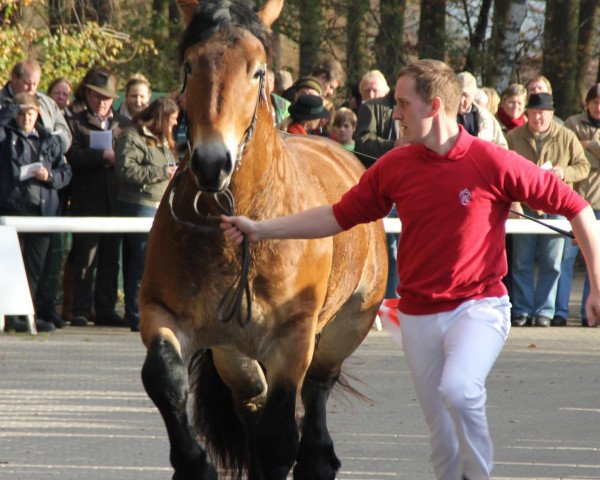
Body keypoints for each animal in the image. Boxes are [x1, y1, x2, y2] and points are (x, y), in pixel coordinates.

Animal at [138, 0, 386, 478]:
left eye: (257, 71)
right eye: (189, 65)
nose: (211, 162)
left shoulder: (292, 339)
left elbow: (278, 438)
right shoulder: (164, 313)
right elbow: (163, 377)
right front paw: (194, 462)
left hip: (345, 327)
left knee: (315, 401)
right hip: (234, 351)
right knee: (252, 402)